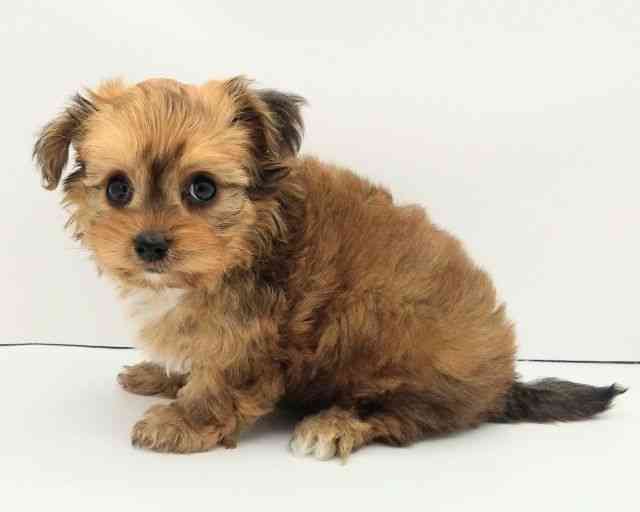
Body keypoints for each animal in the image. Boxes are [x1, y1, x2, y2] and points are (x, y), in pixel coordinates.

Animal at [33, 77, 625, 459]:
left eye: (202, 189)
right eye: (118, 189)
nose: (150, 245)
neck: (245, 240)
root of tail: (500, 383)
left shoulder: (251, 337)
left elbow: (219, 381)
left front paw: (183, 420)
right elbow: (197, 355)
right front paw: (166, 376)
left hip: (385, 331)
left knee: (401, 415)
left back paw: (334, 424)